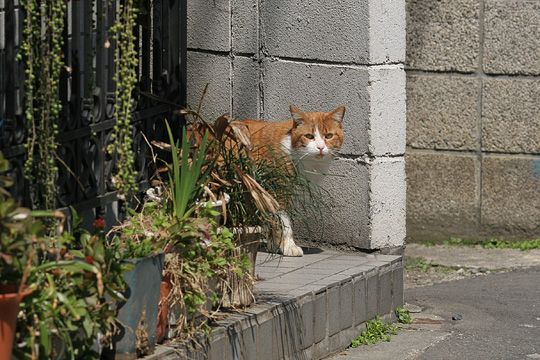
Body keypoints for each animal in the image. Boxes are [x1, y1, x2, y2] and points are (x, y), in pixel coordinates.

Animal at [240, 105, 346, 258]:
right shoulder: (277, 191)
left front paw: (274, 245)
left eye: (328, 136)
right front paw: (288, 246)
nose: (320, 147)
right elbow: (284, 222)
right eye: (309, 136)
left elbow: (272, 221)